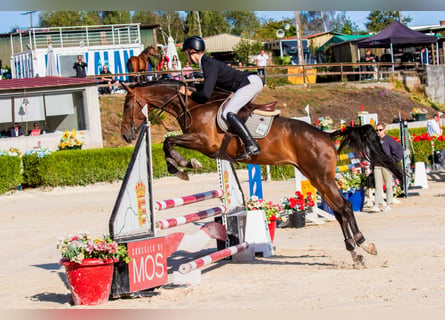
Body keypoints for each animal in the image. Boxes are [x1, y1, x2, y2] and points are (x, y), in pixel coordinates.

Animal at [119, 79, 404, 264]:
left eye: (127, 105)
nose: (126, 135)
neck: (193, 106)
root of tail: (325, 135)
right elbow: (168, 142)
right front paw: (181, 166)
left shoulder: (204, 143)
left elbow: (169, 142)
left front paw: (182, 165)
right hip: (316, 178)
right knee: (338, 210)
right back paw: (354, 250)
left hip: (321, 177)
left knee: (344, 207)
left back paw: (363, 245)